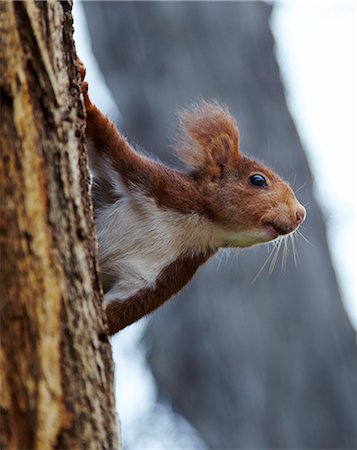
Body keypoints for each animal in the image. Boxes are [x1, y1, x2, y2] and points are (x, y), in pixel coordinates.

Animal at [79, 63, 304, 334]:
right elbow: (105, 140)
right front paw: (82, 86)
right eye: (258, 180)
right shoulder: (148, 179)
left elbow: (121, 310)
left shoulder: (163, 275)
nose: (301, 214)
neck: (194, 224)